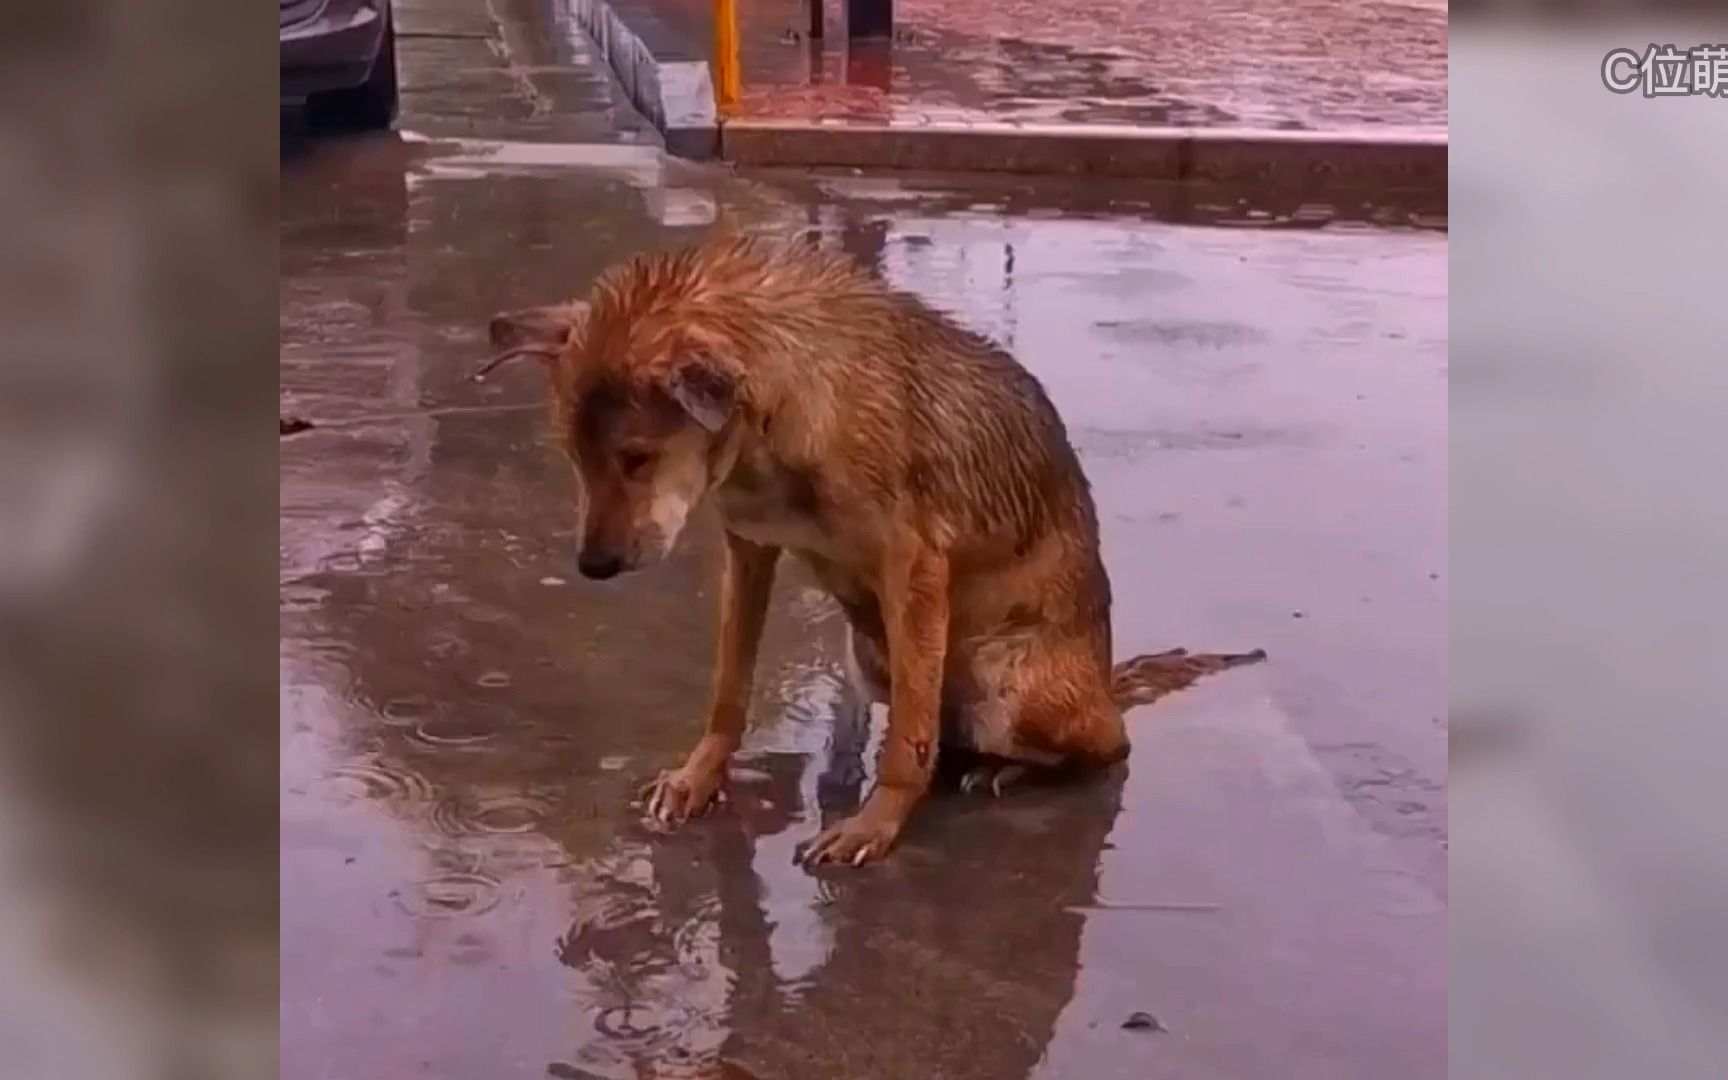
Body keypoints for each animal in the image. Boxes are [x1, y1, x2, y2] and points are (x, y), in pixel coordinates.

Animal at [482, 233, 1264, 866]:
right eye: (575, 458)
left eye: (637, 459)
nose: (592, 568)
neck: (776, 420)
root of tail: (1102, 683)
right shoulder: (749, 551)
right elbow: (730, 686)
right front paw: (700, 777)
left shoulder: (912, 571)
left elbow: (904, 742)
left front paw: (875, 825)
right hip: (870, 653)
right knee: (951, 735)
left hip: (1006, 682)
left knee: (1101, 745)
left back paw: (1010, 769)